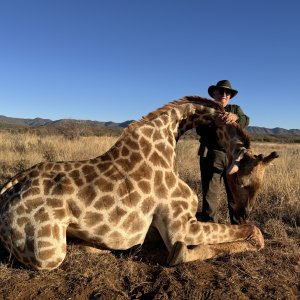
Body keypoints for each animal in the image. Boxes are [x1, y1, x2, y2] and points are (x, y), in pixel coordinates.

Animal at [0, 96, 278, 270]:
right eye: (243, 182)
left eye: (259, 184)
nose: (241, 214)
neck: (166, 142)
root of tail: (6, 191)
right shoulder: (180, 226)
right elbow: (255, 234)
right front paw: (180, 254)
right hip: (48, 254)